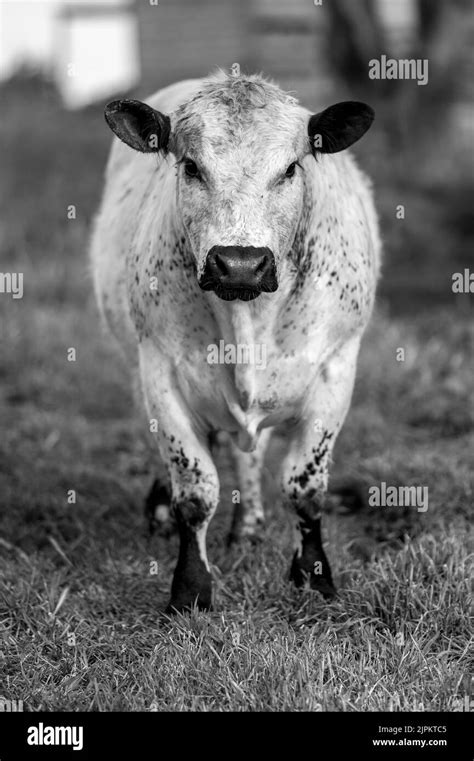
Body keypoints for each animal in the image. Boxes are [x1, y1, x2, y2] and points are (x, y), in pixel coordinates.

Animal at [90, 68, 382, 608]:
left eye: (290, 169)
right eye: (190, 166)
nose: (241, 263)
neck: (248, 320)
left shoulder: (335, 368)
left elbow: (305, 488)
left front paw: (315, 578)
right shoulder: (159, 370)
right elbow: (194, 491)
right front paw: (190, 590)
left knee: (253, 451)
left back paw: (248, 527)